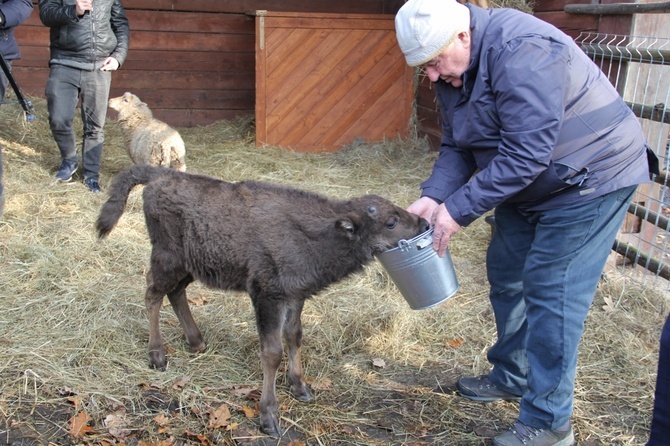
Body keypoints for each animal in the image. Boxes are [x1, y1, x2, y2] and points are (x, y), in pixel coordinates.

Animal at [94, 166, 430, 438]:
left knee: (175, 293)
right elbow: (272, 351)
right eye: (390, 222)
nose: (425, 223)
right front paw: (269, 417)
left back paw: (196, 341)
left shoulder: (295, 297)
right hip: (168, 258)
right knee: (153, 292)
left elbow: (294, 336)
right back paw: (157, 355)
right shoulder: (267, 296)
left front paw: (301, 387)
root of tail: (159, 175)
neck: (319, 233)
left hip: (191, 265)